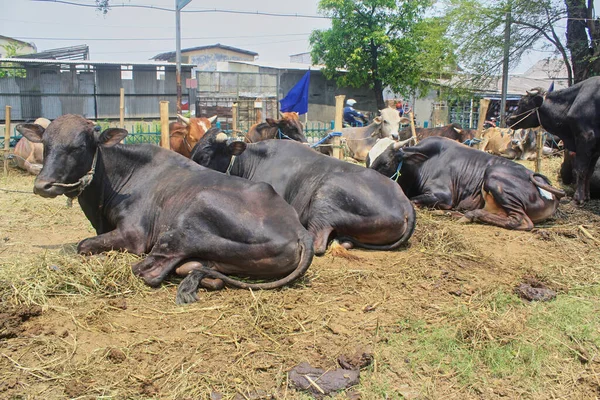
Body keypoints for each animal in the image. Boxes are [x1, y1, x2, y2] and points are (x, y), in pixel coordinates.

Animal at [15, 114, 314, 304]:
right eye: (46, 144)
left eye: (78, 147)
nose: (43, 185)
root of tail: (301, 232)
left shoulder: (133, 235)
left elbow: (83, 245)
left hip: (190, 219)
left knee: (151, 269)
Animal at [368, 136, 564, 230]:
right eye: (367, 159)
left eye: (385, 163)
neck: (421, 164)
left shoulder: (443, 196)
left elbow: (414, 200)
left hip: (494, 177)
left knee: (520, 221)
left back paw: (469, 215)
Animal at [506, 77, 600, 205]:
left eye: (522, 103)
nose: (508, 119)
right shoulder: (595, 149)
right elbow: (589, 172)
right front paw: (586, 196)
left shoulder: (585, 139)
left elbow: (581, 170)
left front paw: (578, 198)